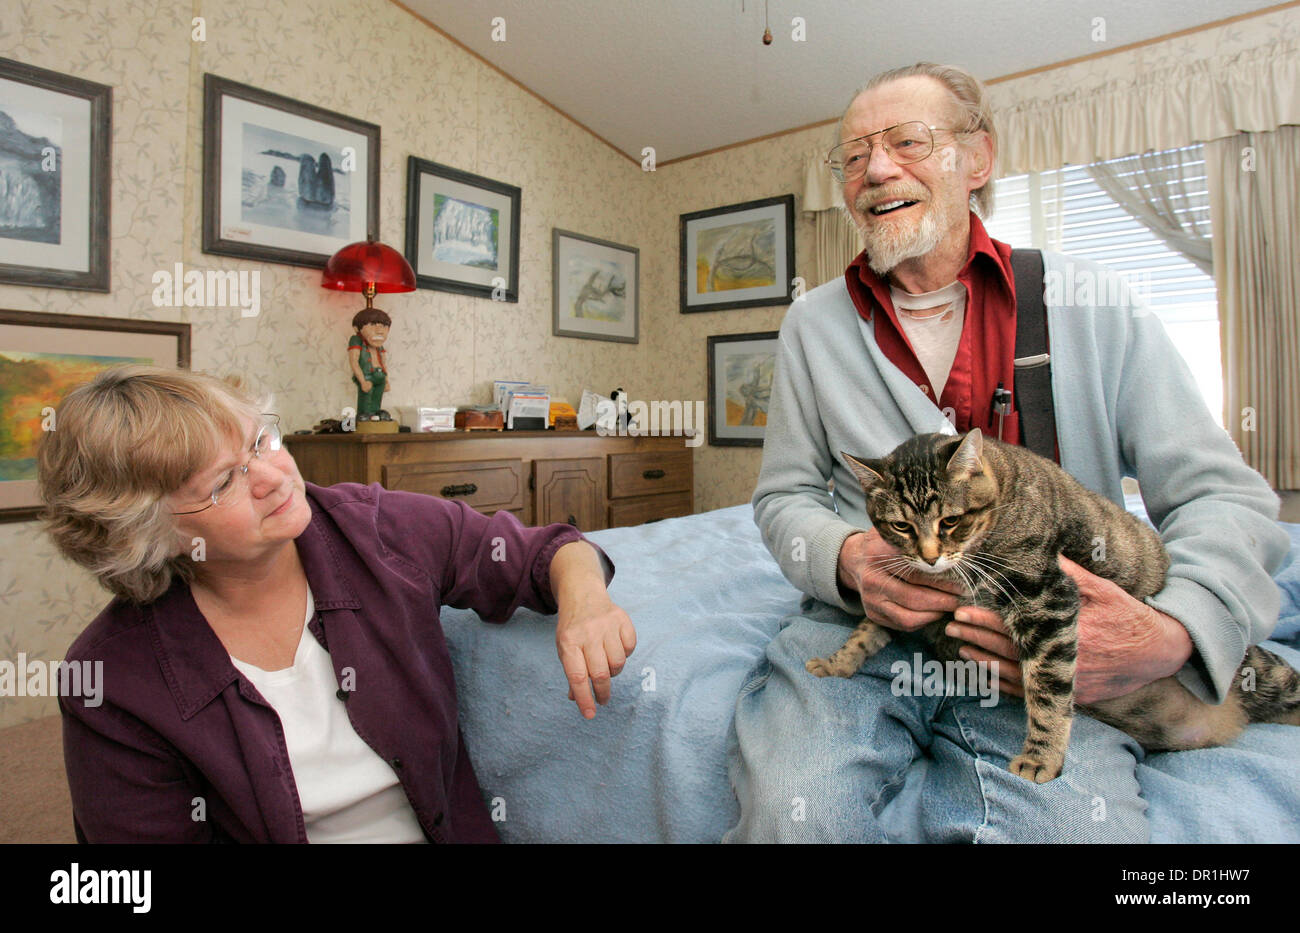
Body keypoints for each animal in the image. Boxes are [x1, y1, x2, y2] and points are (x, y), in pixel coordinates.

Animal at [806, 428, 1294, 779]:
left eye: (950, 520)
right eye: (902, 526)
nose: (929, 556)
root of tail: (1228, 721)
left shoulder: (1046, 600)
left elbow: (1048, 690)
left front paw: (1041, 757)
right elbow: (868, 629)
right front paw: (836, 662)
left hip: (1262, 670)